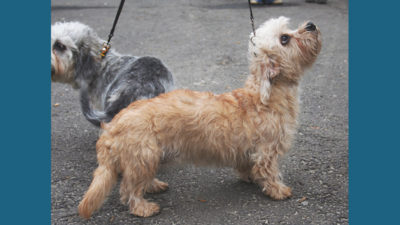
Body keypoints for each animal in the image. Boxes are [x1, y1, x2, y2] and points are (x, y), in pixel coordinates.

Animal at [77, 17, 322, 218]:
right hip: (144, 156)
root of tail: (111, 128)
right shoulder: (267, 150)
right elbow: (269, 172)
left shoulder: (248, 150)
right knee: (128, 189)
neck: (266, 97)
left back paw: (154, 185)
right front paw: (278, 190)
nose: (311, 25)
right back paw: (143, 207)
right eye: (284, 39)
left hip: (145, 158)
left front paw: (250, 177)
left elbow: (247, 166)